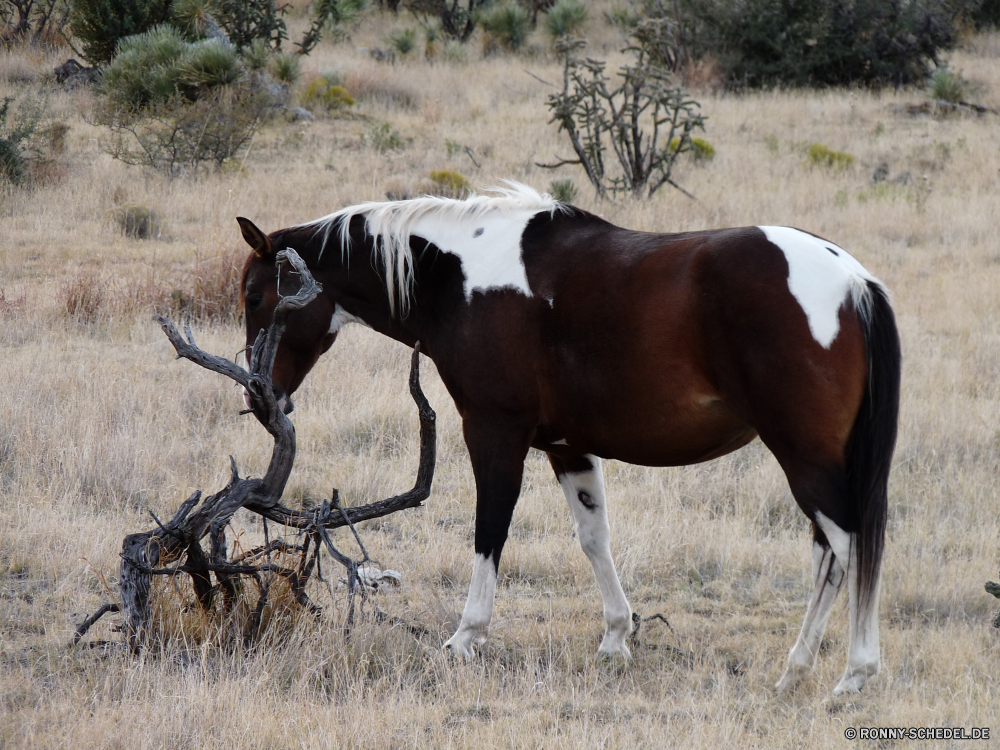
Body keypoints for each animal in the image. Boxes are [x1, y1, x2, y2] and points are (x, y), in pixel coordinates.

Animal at [238, 184, 904, 700]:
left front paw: (465, 638)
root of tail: (853, 279)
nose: (261, 397)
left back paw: (847, 673)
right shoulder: (568, 448)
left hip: (803, 456)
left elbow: (490, 531)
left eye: (255, 296)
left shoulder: (495, 433)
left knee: (847, 548)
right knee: (832, 553)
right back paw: (804, 672)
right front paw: (615, 638)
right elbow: (593, 538)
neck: (459, 277)